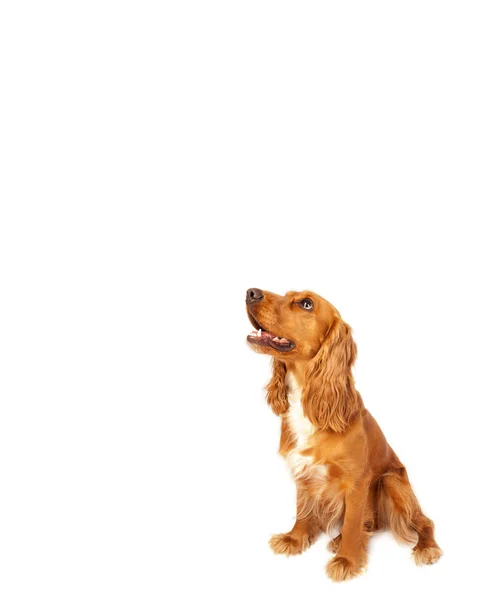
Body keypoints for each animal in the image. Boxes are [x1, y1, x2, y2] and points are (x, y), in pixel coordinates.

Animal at [247, 290, 442, 580]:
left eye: (306, 304)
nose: (251, 293)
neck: (307, 398)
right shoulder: (303, 472)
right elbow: (302, 510)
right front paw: (294, 539)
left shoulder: (356, 482)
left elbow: (351, 523)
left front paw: (346, 560)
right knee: (371, 523)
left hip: (391, 482)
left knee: (423, 521)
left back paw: (426, 548)